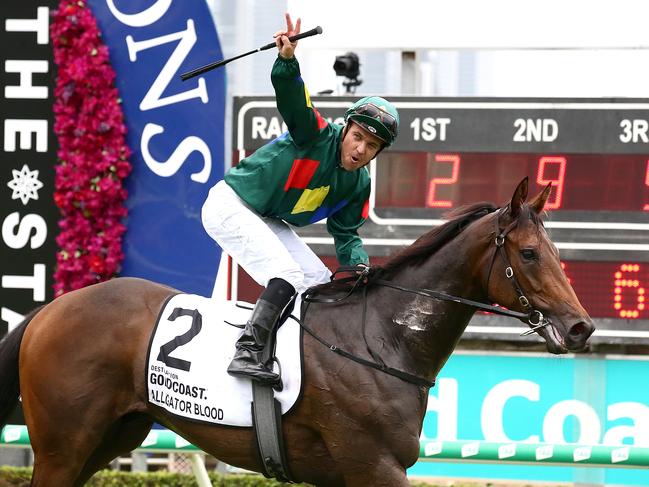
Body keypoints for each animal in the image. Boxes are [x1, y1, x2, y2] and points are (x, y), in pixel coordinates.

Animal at [0, 180, 592, 487]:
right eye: (530, 253)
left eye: (557, 251)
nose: (580, 326)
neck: (383, 341)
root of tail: (49, 310)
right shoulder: (374, 464)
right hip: (62, 446)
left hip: (110, 437)